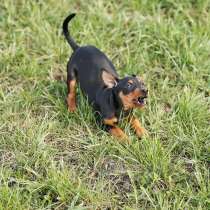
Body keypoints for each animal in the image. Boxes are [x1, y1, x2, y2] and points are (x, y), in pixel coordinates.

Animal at [62, 13, 148, 143]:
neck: (120, 108)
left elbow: (136, 120)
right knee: (70, 93)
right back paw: (72, 108)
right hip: (71, 76)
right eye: (129, 85)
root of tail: (78, 48)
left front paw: (143, 132)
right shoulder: (104, 123)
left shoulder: (130, 115)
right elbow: (118, 130)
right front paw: (128, 141)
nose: (146, 90)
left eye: (142, 83)